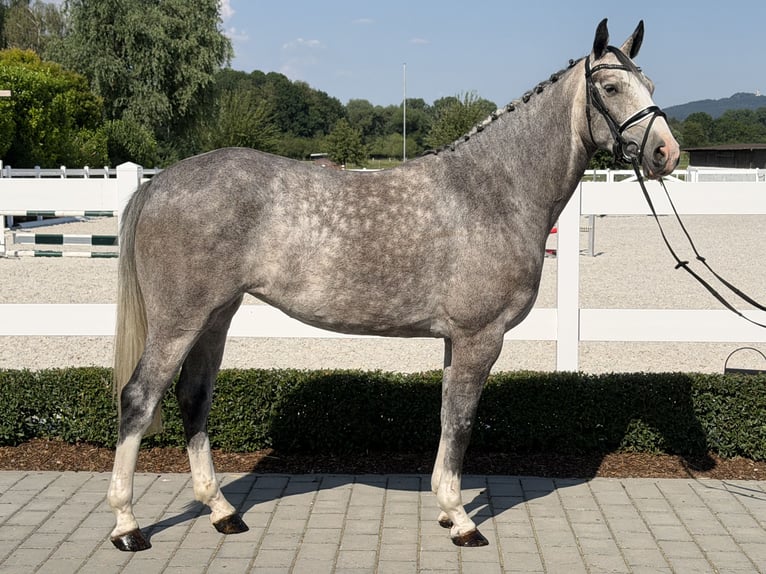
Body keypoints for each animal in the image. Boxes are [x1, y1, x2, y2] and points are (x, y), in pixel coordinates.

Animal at [107, 19, 680, 551]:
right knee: (139, 398)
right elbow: (462, 423)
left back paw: (222, 511)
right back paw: (128, 526)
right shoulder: (480, 337)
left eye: (651, 82)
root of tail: (161, 182)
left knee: (193, 397)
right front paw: (463, 521)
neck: (494, 190)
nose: (666, 154)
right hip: (180, 320)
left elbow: (448, 416)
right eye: (611, 87)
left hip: (216, 315)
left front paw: (448, 510)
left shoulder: (456, 340)